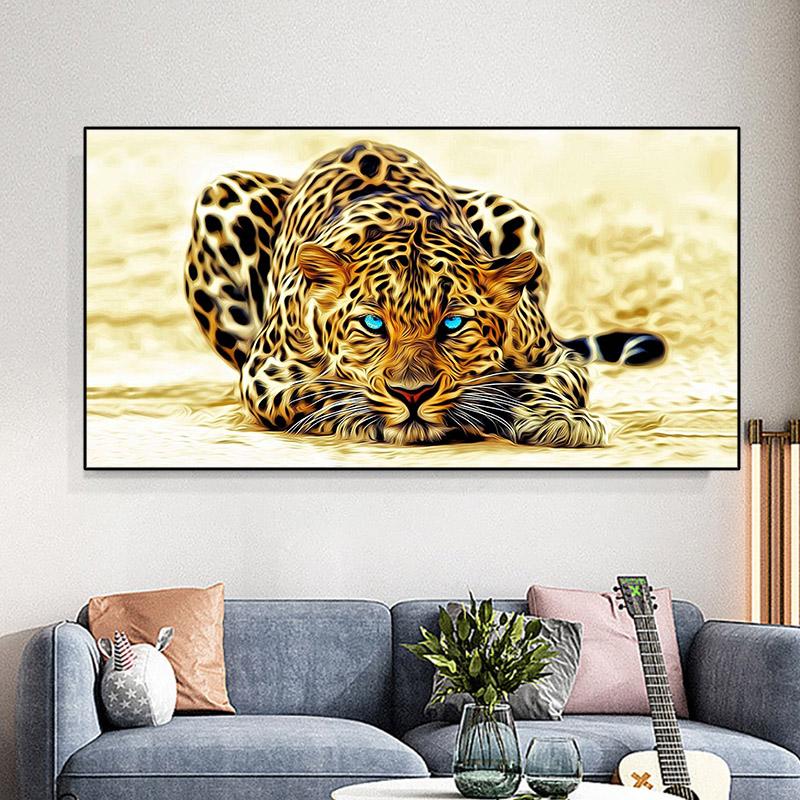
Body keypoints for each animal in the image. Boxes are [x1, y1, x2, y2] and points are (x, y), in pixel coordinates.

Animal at [184, 140, 665, 447]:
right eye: (372, 324)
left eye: (453, 324)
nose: (412, 395)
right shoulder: (266, 373)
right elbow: (321, 391)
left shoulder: (554, 357)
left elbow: (543, 382)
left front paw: (559, 419)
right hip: (222, 195)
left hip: (512, 211)